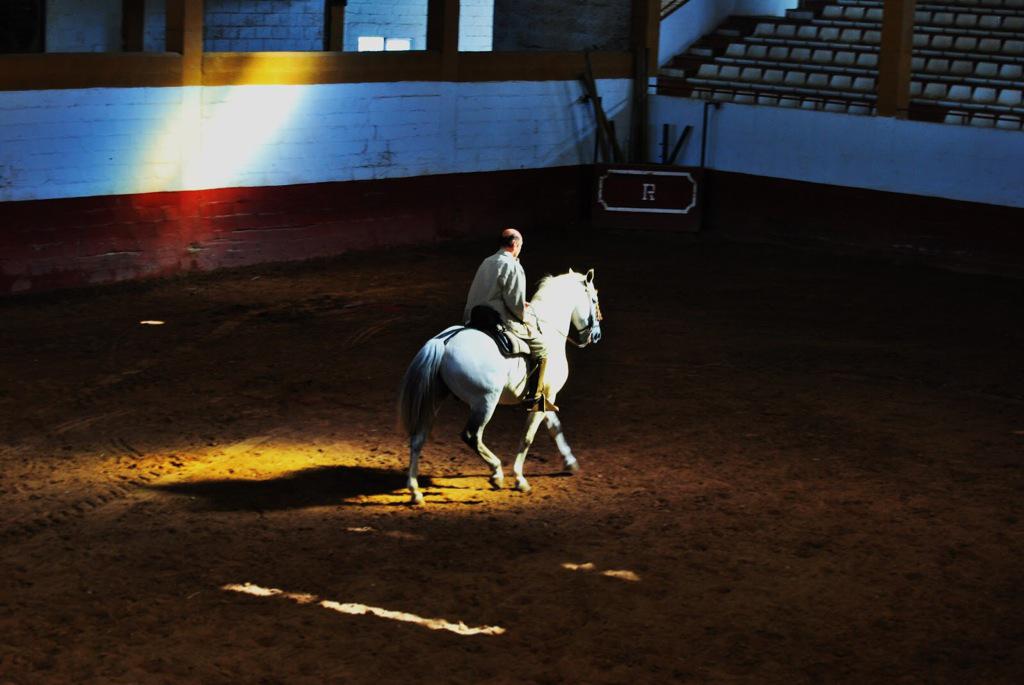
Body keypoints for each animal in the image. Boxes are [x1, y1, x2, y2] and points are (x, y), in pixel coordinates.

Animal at [397, 269, 603, 505]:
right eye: (594, 299)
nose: (597, 335)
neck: (548, 331)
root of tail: (443, 342)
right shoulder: (546, 397)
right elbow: (528, 437)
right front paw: (520, 478)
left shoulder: (545, 398)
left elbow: (554, 427)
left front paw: (570, 462)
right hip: (485, 402)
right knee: (472, 436)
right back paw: (496, 473)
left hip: (435, 399)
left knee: (417, 438)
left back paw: (415, 491)